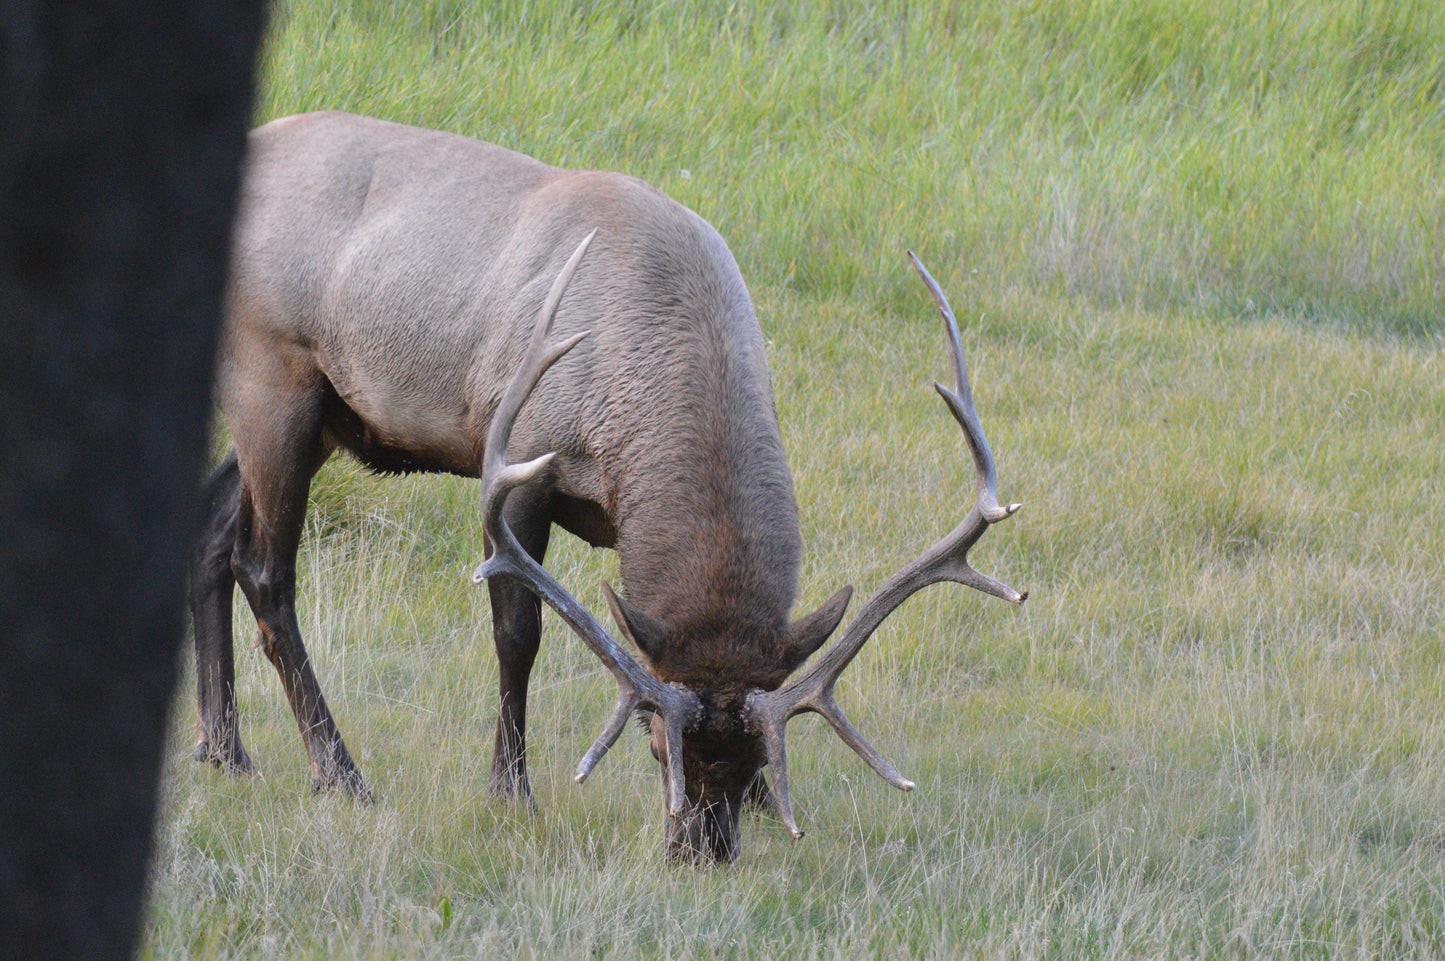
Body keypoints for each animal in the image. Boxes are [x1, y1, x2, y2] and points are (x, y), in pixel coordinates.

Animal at [191, 110, 1025, 863]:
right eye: (657, 744)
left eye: (757, 757)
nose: (700, 849)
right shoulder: (520, 457)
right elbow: (517, 631)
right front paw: (509, 790)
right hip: (274, 377)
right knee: (262, 567)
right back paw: (338, 772)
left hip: (320, 416)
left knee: (210, 531)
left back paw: (224, 749)